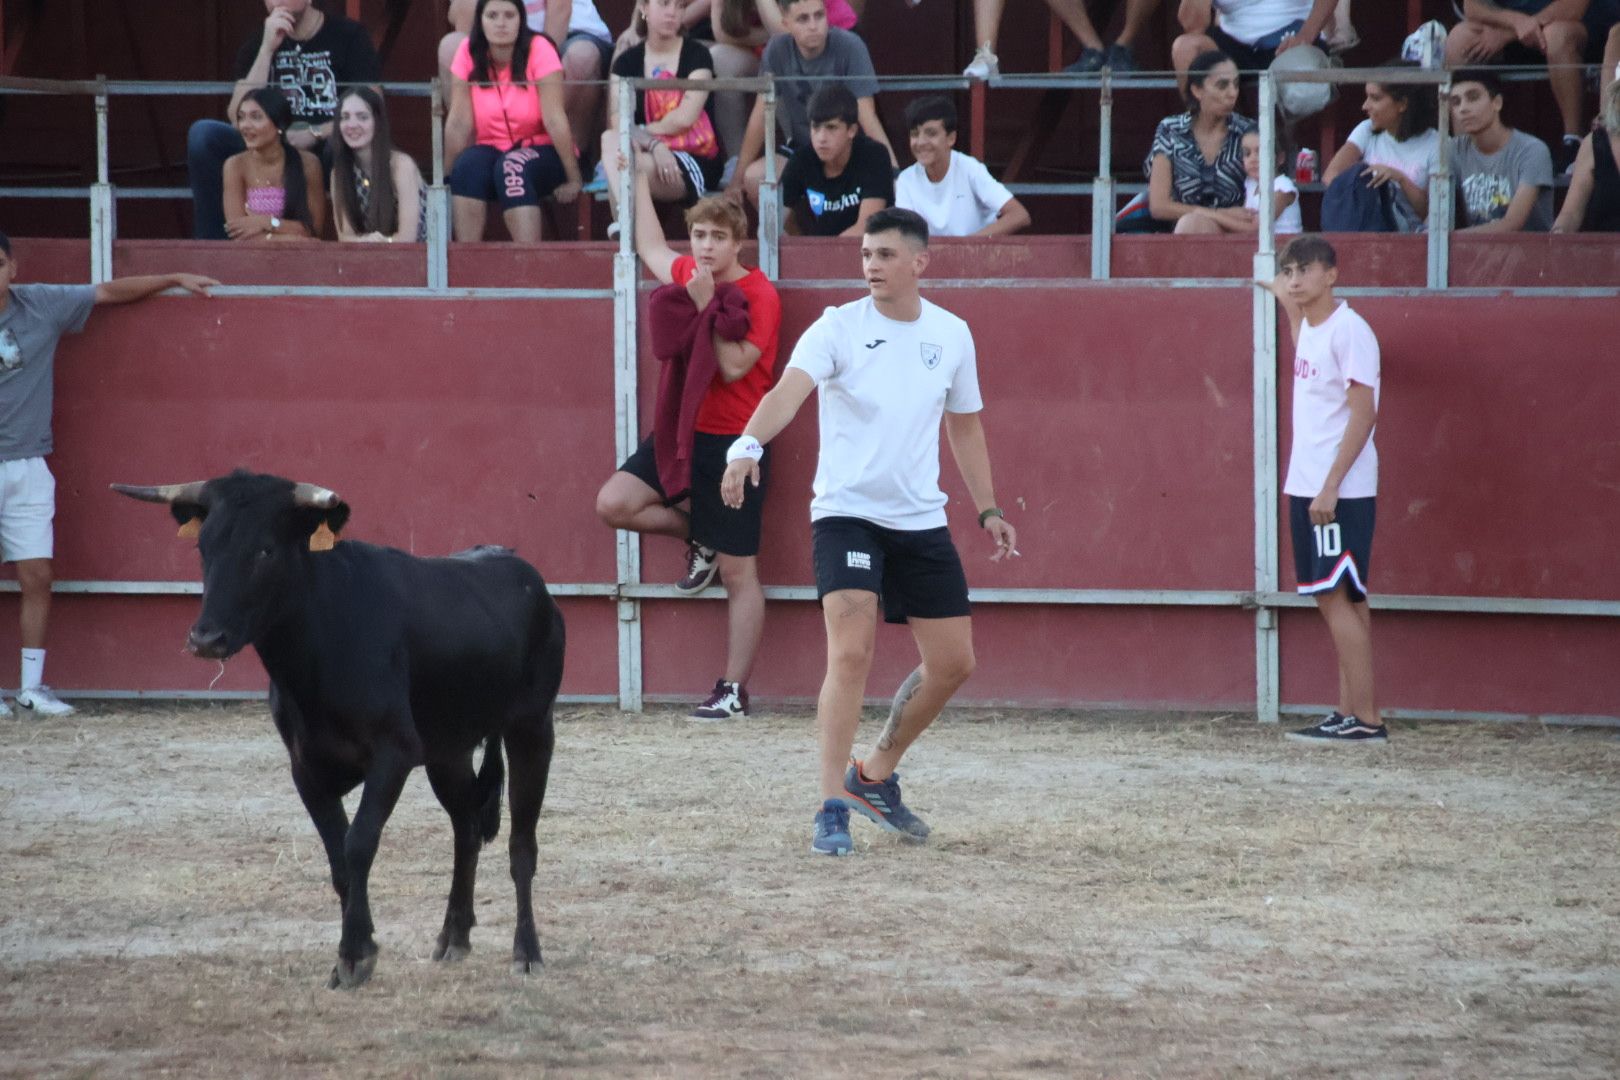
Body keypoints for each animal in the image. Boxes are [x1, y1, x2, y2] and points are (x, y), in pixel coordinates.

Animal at [114, 469, 563, 990]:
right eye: (203, 548)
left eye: (266, 549)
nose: (206, 639)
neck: (318, 650)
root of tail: (527, 575)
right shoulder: (306, 767)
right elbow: (337, 857)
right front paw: (356, 952)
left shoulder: (393, 754)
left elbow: (359, 844)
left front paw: (353, 954)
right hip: (447, 751)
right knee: (467, 828)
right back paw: (453, 937)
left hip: (533, 729)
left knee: (521, 844)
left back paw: (526, 951)